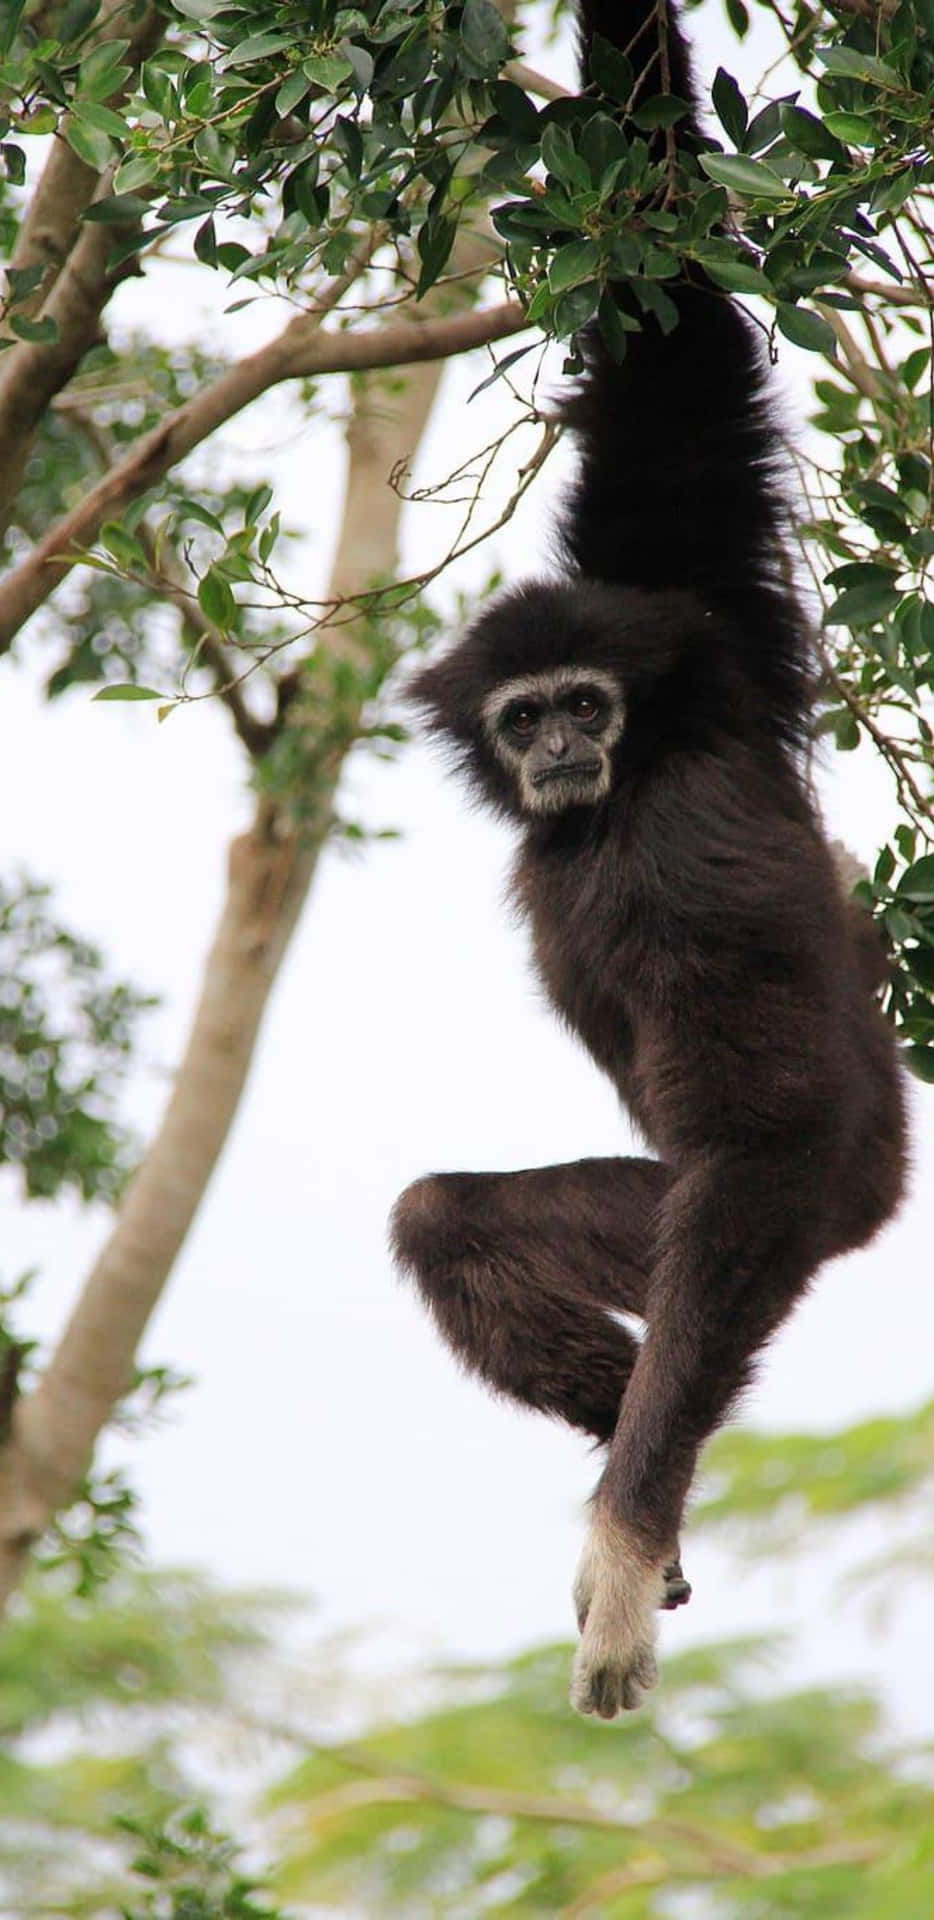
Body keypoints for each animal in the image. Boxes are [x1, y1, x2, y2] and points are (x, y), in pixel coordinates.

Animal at [390, 0, 908, 1718]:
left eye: (584, 706)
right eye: (524, 710)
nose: (556, 751)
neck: (623, 785)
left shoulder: (667, 849)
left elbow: (755, 1126)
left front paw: (618, 1551)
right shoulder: (696, 609)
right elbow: (664, 310)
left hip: (811, 1204)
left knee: (718, 1198)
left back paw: (643, 1500)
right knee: (445, 1220)